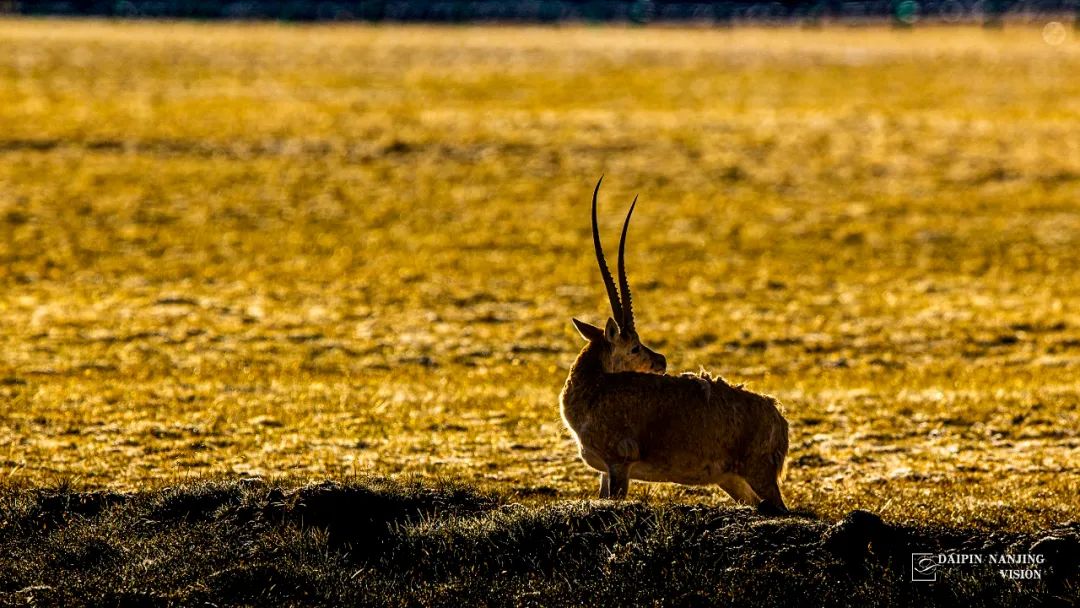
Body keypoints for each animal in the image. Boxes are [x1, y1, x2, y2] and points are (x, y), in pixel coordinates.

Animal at [561, 177, 790, 514]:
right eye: (634, 347)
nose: (660, 360)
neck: (593, 389)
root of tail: (778, 416)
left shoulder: (619, 465)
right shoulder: (605, 472)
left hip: (759, 475)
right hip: (734, 482)